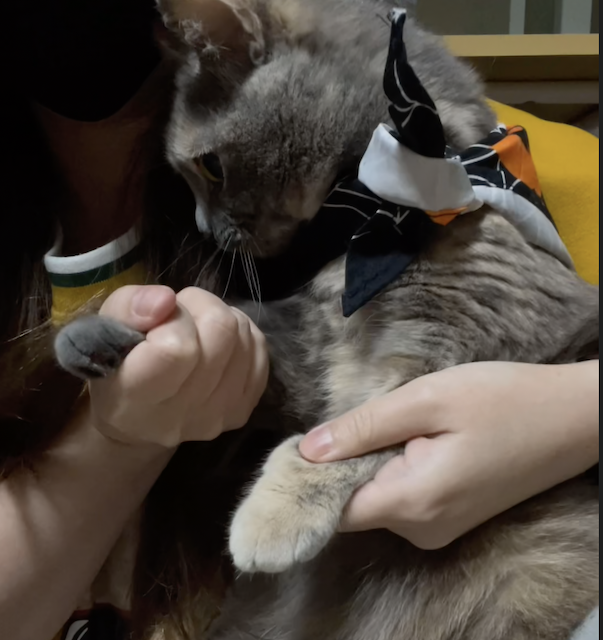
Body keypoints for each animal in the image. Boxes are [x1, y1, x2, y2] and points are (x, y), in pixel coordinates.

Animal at [55, 1, 599, 639]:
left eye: (210, 168)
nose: (205, 228)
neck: (374, 222)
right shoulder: (302, 358)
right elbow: (241, 325)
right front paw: (107, 330)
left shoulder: (459, 345)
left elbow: (347, 435)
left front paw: (273, 518)